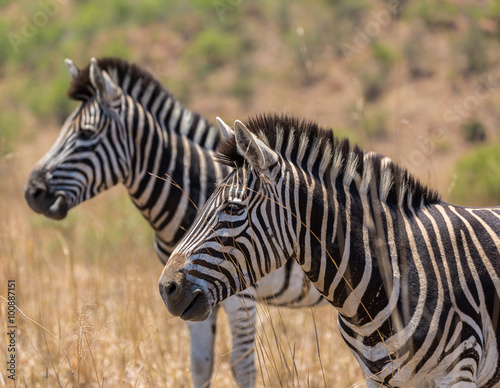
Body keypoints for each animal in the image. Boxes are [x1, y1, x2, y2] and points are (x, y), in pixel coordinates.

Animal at [24, 59, 328, 386]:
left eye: (87, 133)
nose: (32, 192)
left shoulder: (241, 293)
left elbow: (242, 366)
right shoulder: (190, 292)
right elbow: (200, 362)